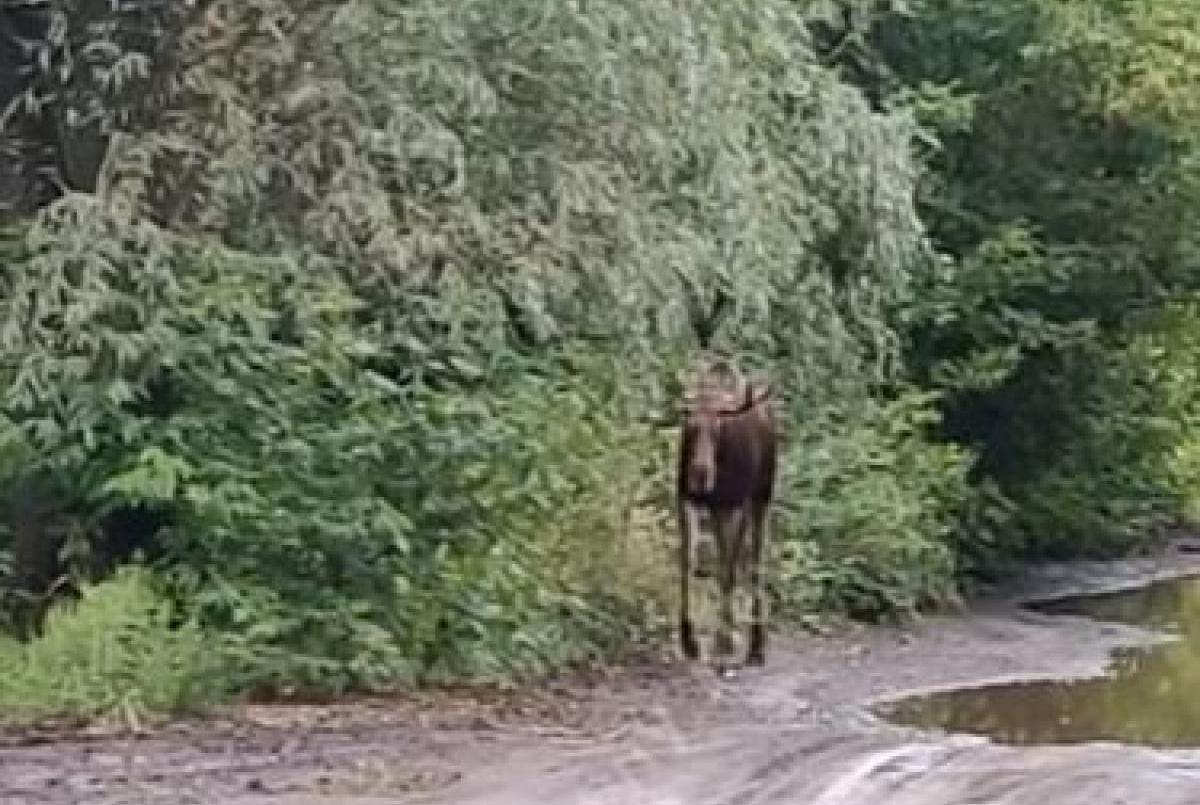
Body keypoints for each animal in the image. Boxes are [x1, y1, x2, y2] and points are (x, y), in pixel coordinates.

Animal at [676, 362, 777, 671]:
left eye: (718, 428)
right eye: (690, 425)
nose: (699, 473)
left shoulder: (739, 503)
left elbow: (729, 570)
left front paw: (724, 642)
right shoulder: (687, 499)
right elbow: (687, 563)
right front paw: (689, 642)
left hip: (761, 498)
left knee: (755, 563)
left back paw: (756, 647)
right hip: (720, 509)